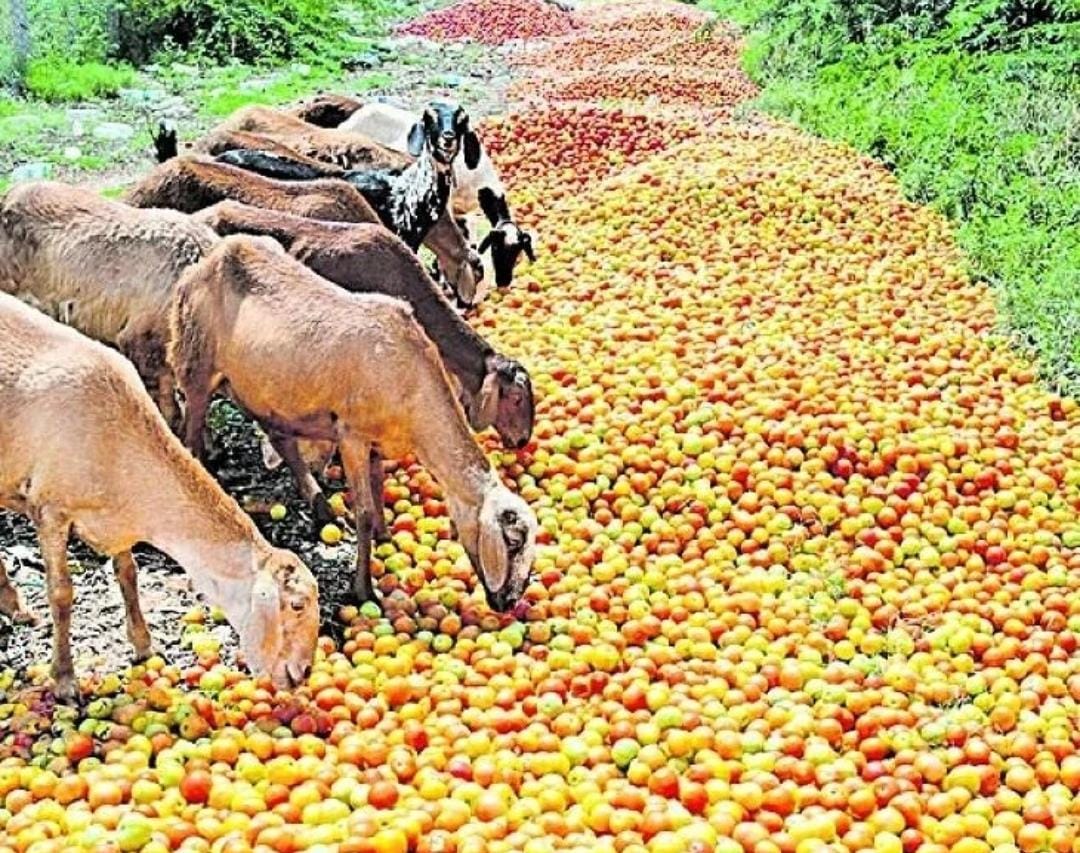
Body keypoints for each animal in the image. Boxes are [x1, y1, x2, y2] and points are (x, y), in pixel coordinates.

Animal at [0, 293, 319, 699]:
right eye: (296, 604)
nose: (302, 673)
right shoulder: (50, 508)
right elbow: (61, 593)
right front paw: (65, 679)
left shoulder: (118, 519)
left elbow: (128, 574)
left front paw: (144, 645)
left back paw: (14, 605)